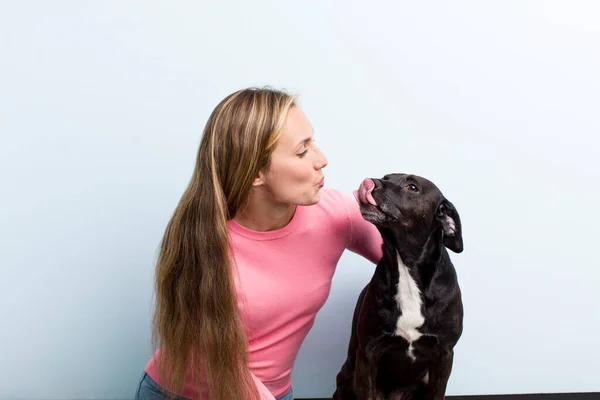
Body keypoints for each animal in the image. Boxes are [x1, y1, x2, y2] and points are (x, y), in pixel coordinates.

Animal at [332, 173, 464, 400]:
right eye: (386, 176)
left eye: (412, 187)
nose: (371, 181)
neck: (407, 271)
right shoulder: (368, 352)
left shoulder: (444, 355)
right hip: (347, 379)